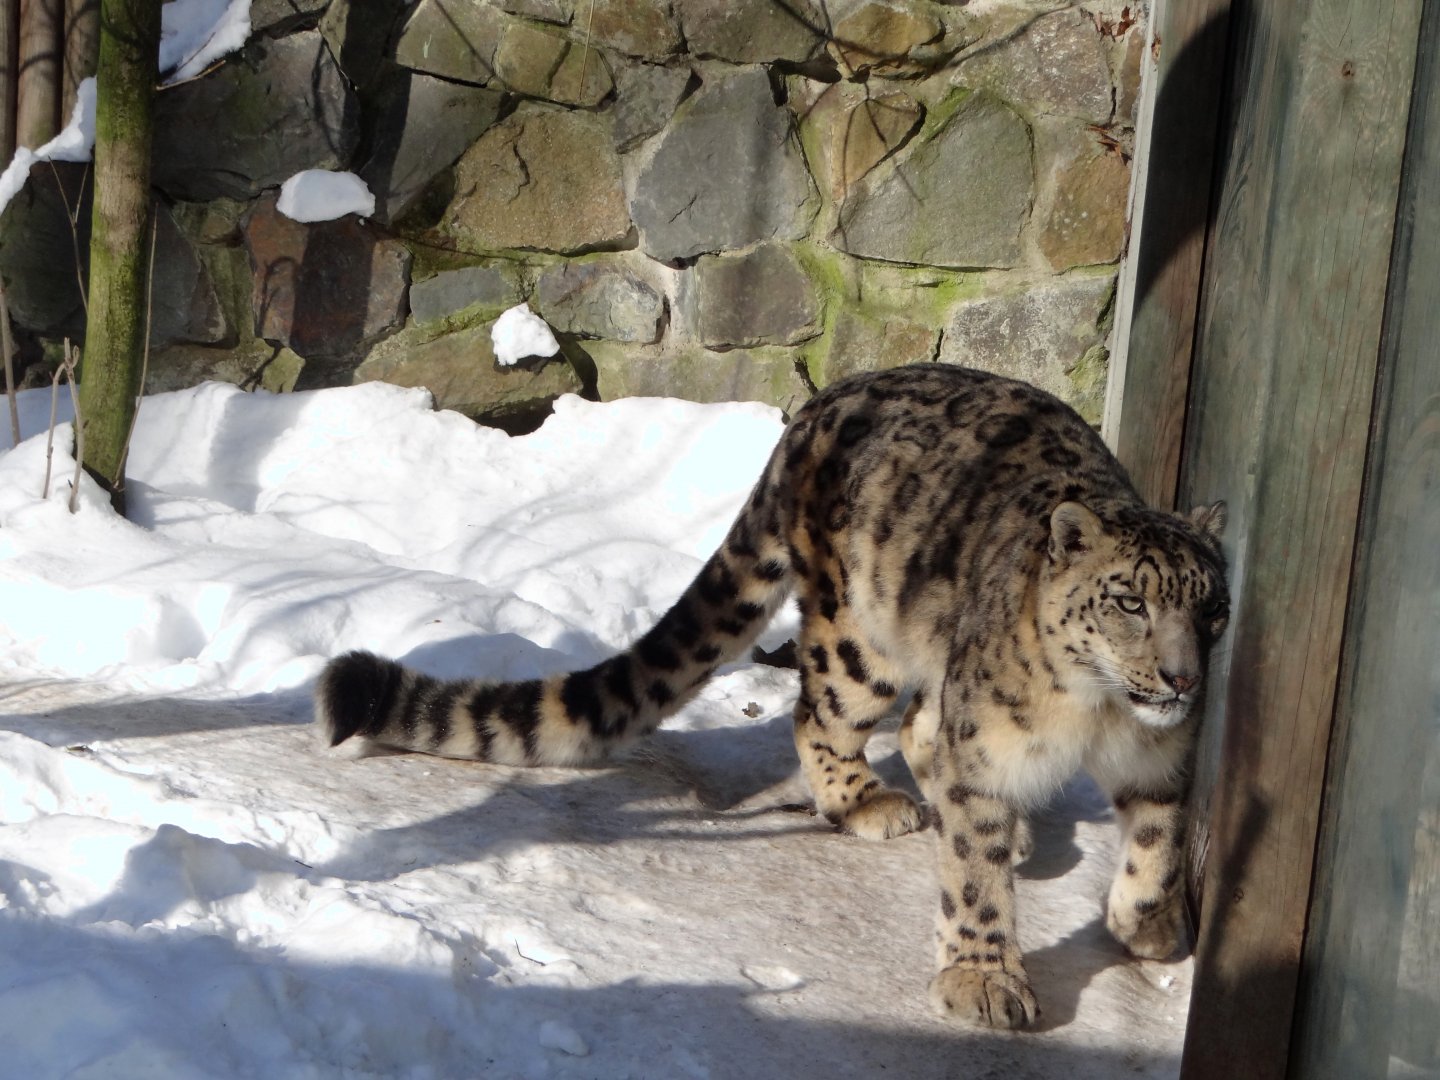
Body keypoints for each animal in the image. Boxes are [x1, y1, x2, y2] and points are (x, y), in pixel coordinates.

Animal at [315, 363, 1230, 1028]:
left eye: (1212, 606)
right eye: (1131, 601)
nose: (1183, 676)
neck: (1101, 715)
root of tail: (821, 404)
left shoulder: (1166, 755)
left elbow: (1160, 837)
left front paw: (1146, 926)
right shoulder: (991, 751)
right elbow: (972, 875)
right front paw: (984, 980)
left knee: (920, 725)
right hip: (857, 638)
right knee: (820, 713)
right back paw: (866, 802)